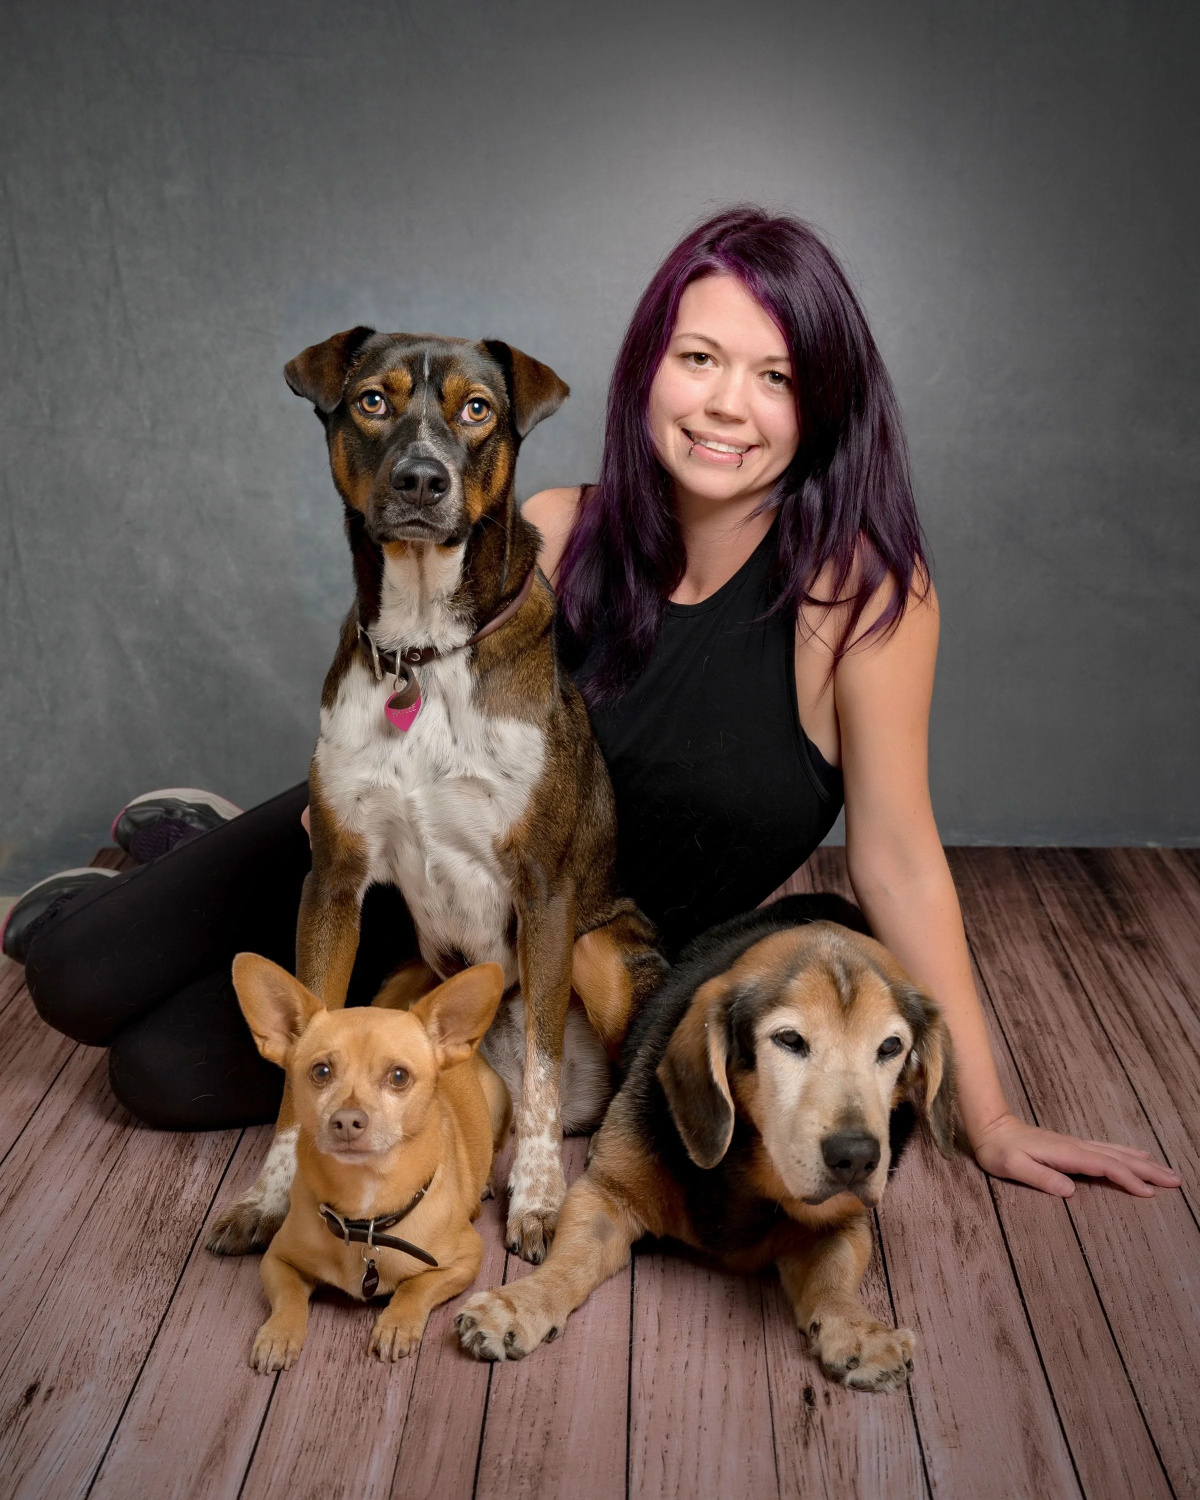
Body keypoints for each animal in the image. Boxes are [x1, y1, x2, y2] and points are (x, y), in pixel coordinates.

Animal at [211, 331, 666, 1266]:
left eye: (477, 409)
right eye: (372, 402)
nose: (422, 479)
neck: (422, 651)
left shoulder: (545, 889)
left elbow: (538, 1068)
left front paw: (539, 1198)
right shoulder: (334, 880)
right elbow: (299, 1067)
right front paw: (270, 1197)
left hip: (600, 952)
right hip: (396, 980)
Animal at [232, 954, 510, 1368]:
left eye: (398, 1076)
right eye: (321, 1071)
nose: (347, 1120)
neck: (366, 1214)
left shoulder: (464, 1261)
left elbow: (416, 1287)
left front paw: (396, 1324)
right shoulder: (277, 1260)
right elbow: (288, 1297)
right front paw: (279, 1334)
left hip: (500, 1106)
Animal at [453, 888, 954, 1392]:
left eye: (890, 1047)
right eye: (790, 1040)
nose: (856, 1158)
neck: (750, 1174)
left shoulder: (841, 1224)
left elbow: (833, 1281)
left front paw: (856, 1330)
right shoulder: (605, 1197)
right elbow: (568, 1262)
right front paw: (519, 1305)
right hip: (589, 955)